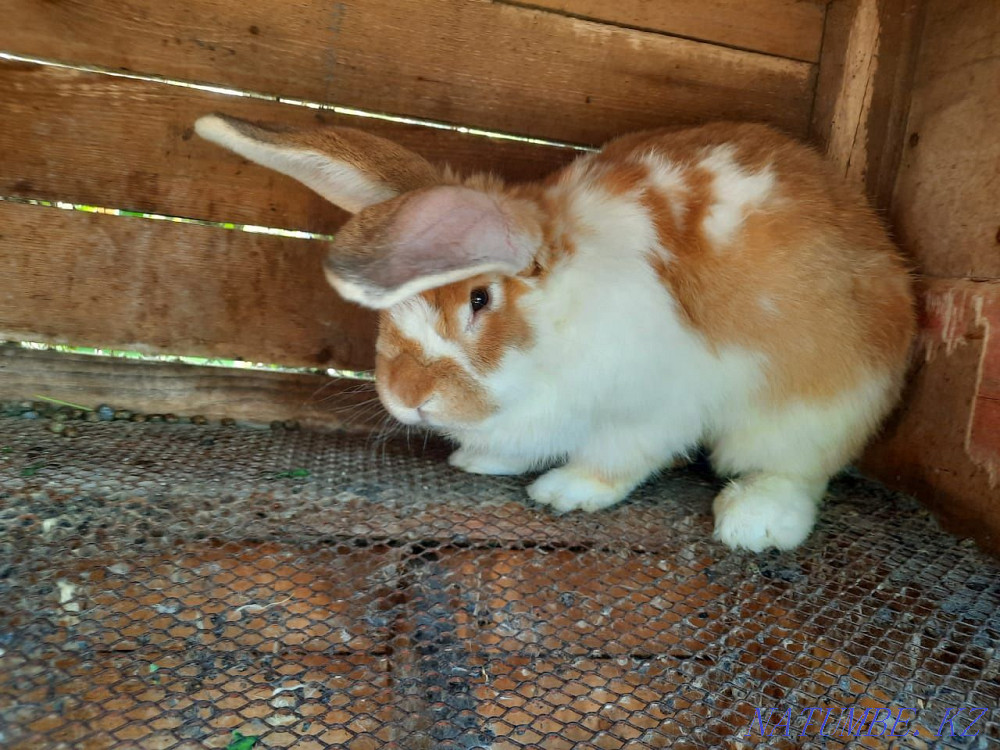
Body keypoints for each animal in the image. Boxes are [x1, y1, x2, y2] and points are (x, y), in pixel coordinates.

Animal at [195, 114, 915, 551]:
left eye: (480, 299)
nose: (406, 395)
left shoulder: (653, 408)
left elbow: (614, 460)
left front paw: (564, 492)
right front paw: (481, 460)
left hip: (806, 406)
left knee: (796, 468)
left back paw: (752, 522)